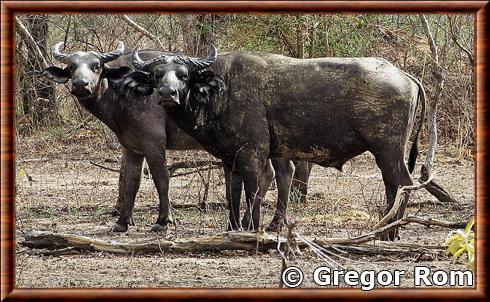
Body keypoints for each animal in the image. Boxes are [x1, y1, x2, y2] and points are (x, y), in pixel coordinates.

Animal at [41, 41, 294, 232]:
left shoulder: (153, 143)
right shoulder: (132, 147)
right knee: (280, 173)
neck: (125, 90)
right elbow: (130, 182)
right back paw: (272, 222)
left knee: (274, 174)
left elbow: (162, 179)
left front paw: (164, 220)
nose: (80, 84)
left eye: (96, 66)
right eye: (71, 67)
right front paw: (122, 222)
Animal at [125, 46, 424, 239]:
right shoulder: (229, 159)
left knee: (402, 182)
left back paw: (391, 231)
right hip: (386, 153)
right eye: (157, 75)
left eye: (183, 74)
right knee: (392, 184)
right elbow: (232, 194)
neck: (223, 89)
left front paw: (253, 227)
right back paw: (386, 229)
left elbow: (253, 191)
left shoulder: (253, 154)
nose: (168, 93)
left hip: (388, 150)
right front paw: (233, 228)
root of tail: (403, 75)